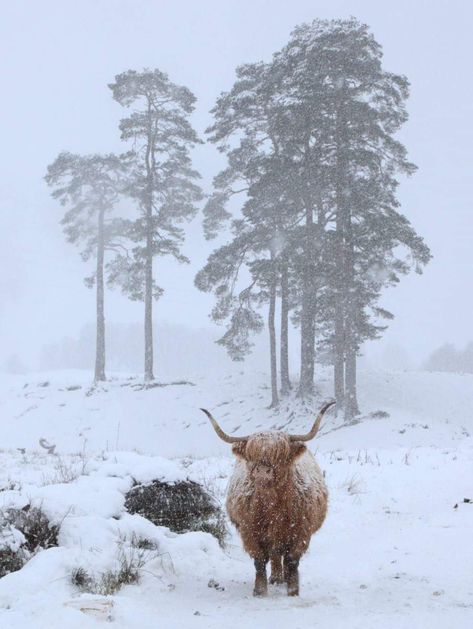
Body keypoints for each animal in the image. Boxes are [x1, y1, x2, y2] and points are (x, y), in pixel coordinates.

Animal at [201, 400, 334, 596]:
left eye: (280, 454)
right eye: (251, 454)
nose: (263, 471)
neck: (272, 506)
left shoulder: (301, 531)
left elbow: (292, 560)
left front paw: (293, 590)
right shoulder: (250, 531)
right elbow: (259, 560)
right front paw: (260, 590)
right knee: (274, 553)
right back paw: (276, 578)